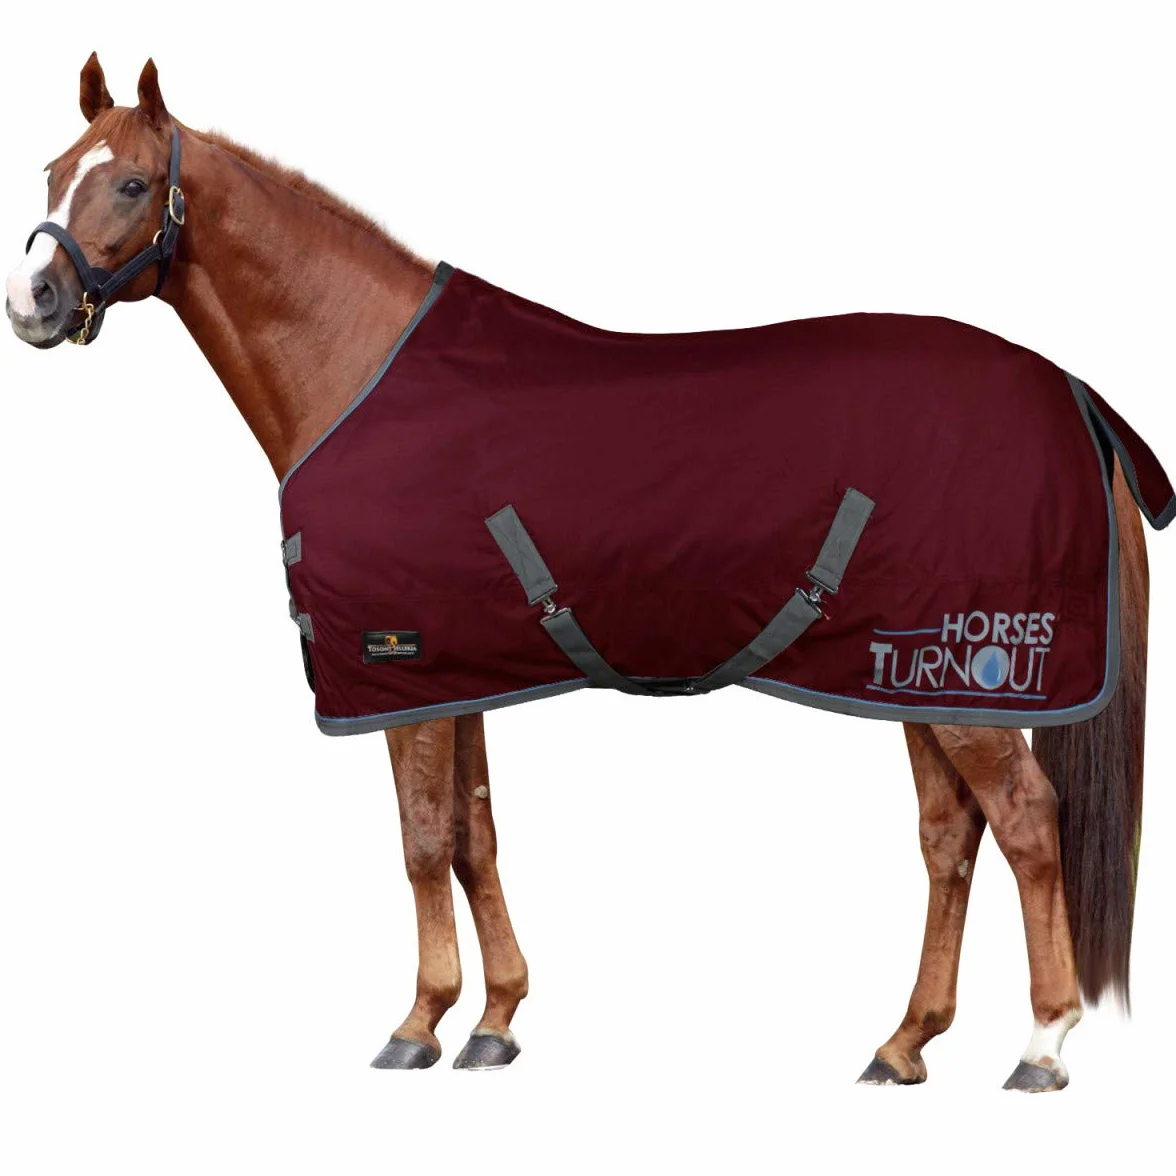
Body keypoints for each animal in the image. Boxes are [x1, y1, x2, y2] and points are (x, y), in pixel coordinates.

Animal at [4, 55, 1156, 1091]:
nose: (32, 300)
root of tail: (1071, 392)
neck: (355, 367)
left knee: (1027, 824)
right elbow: (473, 836)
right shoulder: (453, 672)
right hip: (906, 674)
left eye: (131, 183)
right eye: (52, 168)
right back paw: (904, 1043)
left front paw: (417, 1024)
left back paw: (1043, 1046)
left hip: (973, 674)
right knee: (950, 838)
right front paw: (494, 1021)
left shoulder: (395, 663)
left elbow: (422, 840)